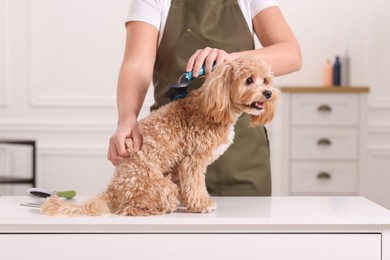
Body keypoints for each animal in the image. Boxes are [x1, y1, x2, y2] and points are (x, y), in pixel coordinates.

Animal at [41, 55, 278, 216]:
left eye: (266, 80)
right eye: (249, 80)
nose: (268, 93)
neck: (213, 106)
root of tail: (112, 189)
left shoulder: (182, 166)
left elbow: (188, 186)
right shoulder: (193, 161)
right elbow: (195, 185)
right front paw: (202, 204)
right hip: (161, 186)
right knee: (127, 208)